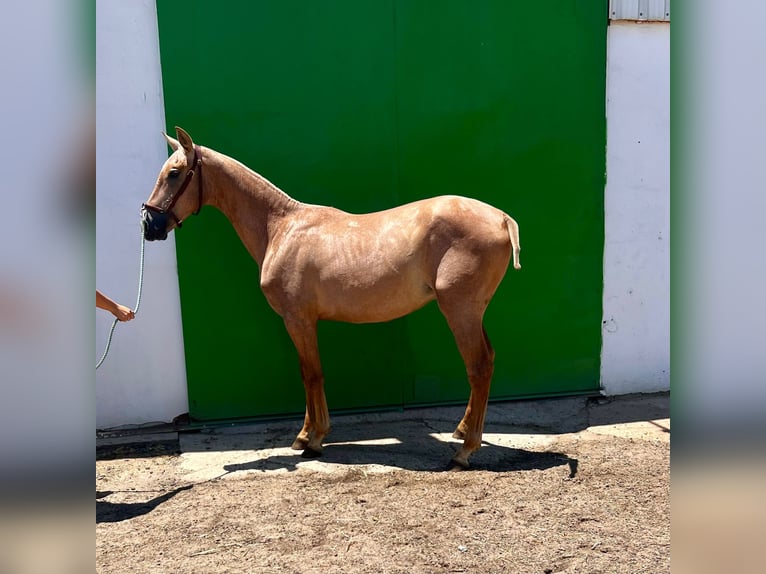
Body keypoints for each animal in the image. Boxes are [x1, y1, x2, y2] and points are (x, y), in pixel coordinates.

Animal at [142, 126, 520, 468]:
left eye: (174, 173)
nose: (149, 225)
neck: (280, 227)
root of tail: (502, 219)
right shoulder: (302, 321)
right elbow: (308, 372)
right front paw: (306, 435)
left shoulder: (298, 320)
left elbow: (311, 374)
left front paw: (313, 439)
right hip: (472, 312)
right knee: (488, 360)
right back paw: (463, 431)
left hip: (460, 311)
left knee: (478, 366)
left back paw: (465, 451)